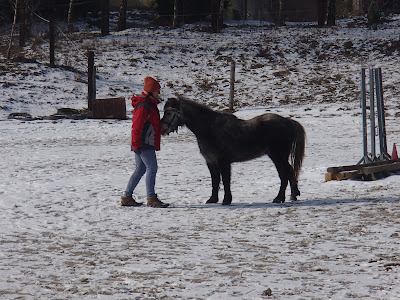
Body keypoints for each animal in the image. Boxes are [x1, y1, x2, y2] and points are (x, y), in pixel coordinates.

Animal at [161, 97, 304, 205]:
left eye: (168, 113)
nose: (162, 129)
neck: (209, 129)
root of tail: (288, 121)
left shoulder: (223, 161)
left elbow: (225, 180)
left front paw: (226, 200)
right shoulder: (211, 162)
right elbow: (215, 181)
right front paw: (213, 199)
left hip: (277, 156)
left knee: (284, 174)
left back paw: (279, 198)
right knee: (290, 172)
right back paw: (293, 195)